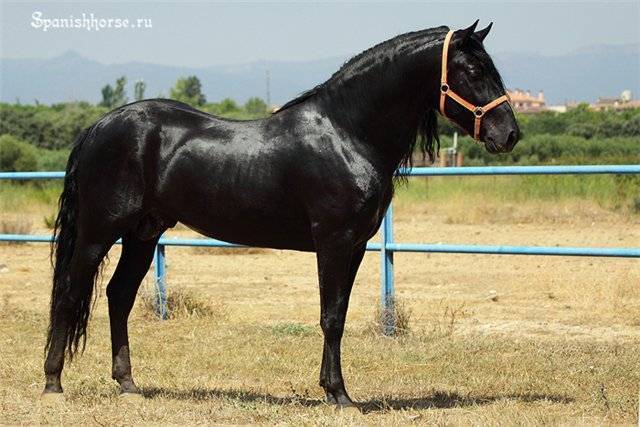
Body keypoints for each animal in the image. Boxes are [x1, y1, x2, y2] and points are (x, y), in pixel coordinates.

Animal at [41, 21, 520, 410]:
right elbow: (330, 316)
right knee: (68, 293)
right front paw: (340, 396)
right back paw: (53, 384)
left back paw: (128, 384)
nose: (510, 134)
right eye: (473, 70)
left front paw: (334, 390)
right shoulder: (333, 241)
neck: (348, 134)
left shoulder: (356, 246)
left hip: (143, 234)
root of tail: (98, 128)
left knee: (119, 295)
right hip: (98, 233)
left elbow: (339, 313)